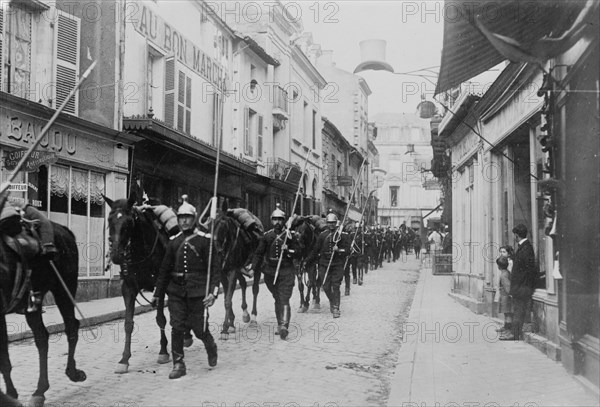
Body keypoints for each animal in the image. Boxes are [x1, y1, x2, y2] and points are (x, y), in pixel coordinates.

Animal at [0, 212, 85, 406]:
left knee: (71, 327)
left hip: (64, 290)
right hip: (33, 303)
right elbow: (4, 357)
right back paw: (40, 391)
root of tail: (64, 230)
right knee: (42, 338)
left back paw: (71, 373)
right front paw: (11, 394)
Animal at [103, 196, 172, 374]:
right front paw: (124, 360)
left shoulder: (160, 287)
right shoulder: (128, 288)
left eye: (129, 222)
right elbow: (128, 324)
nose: (116, 255)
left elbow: (161, 319)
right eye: (109, 220)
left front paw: (163, 352)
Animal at [212, 209, 264, 340]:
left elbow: (227, 300)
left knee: (255, 289)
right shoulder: (223, 274)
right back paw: (245, 314)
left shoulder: (232, 272)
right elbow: (227, 297)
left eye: (223, 226)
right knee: (243, 283)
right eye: (211, 225)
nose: (216, 250)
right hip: (239, 269)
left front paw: (225, 329)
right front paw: (231, 325)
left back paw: (253, 317)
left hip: (257, 266)